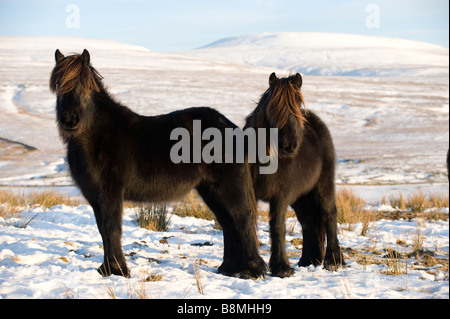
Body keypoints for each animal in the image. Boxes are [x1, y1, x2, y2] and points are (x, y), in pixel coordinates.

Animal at [50, 48, 266, 278]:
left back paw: (253, 270)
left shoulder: (110, 194)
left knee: (242, 220)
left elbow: (111, 228)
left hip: (228, 187)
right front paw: (107, 269)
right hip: (210, 190)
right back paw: (228, 268)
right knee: (228, 223)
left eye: (84, 86)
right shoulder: (94, 197)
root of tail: (231, 127)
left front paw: (118, 270)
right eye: (58, 85)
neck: (96, 135)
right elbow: (102, 230)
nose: (69, 120)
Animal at [246, 72, 344, 278]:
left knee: (329, 214)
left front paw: (281, 268)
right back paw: (308, 260)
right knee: (308, 221)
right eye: (273, 107)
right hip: (301, 196)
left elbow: (278, 227)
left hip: (323, 185)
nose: (289, 145)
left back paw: (332, 261)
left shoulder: (280, 197)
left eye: (298, 104)